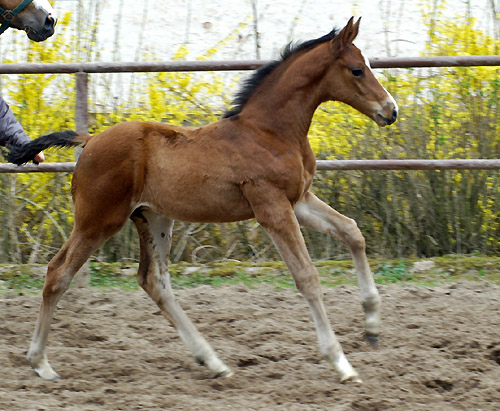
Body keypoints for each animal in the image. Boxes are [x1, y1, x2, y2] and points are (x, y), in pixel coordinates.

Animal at [9, 17, 396, 384]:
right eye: (357, 69)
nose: (390, 111)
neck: (270, 132)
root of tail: (89, 141)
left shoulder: (298, 199)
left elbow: (352, 232)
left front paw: (372, 327)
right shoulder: (272, 207)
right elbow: (307, 277)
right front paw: (342, 364)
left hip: (153, 218)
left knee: (154, 281)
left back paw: (213, 361)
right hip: (97, 220)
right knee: (58, 273)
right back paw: (41, 363)